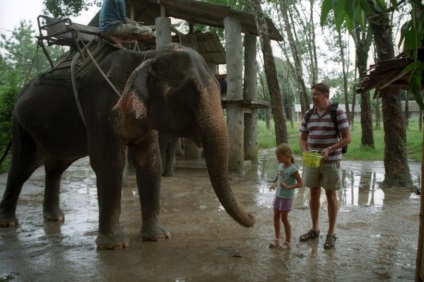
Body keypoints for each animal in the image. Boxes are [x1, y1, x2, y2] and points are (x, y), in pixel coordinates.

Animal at [0, 41, 255, 249]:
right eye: (188, 92)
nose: (253, 218)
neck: (146, 56)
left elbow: (149, 160)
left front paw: (158, 237)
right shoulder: (102, 106)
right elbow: (108, 162)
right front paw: (114, 245)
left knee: (56, 166)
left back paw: (55, 218)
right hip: (20, 125)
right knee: (22, 166)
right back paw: (9, 222)